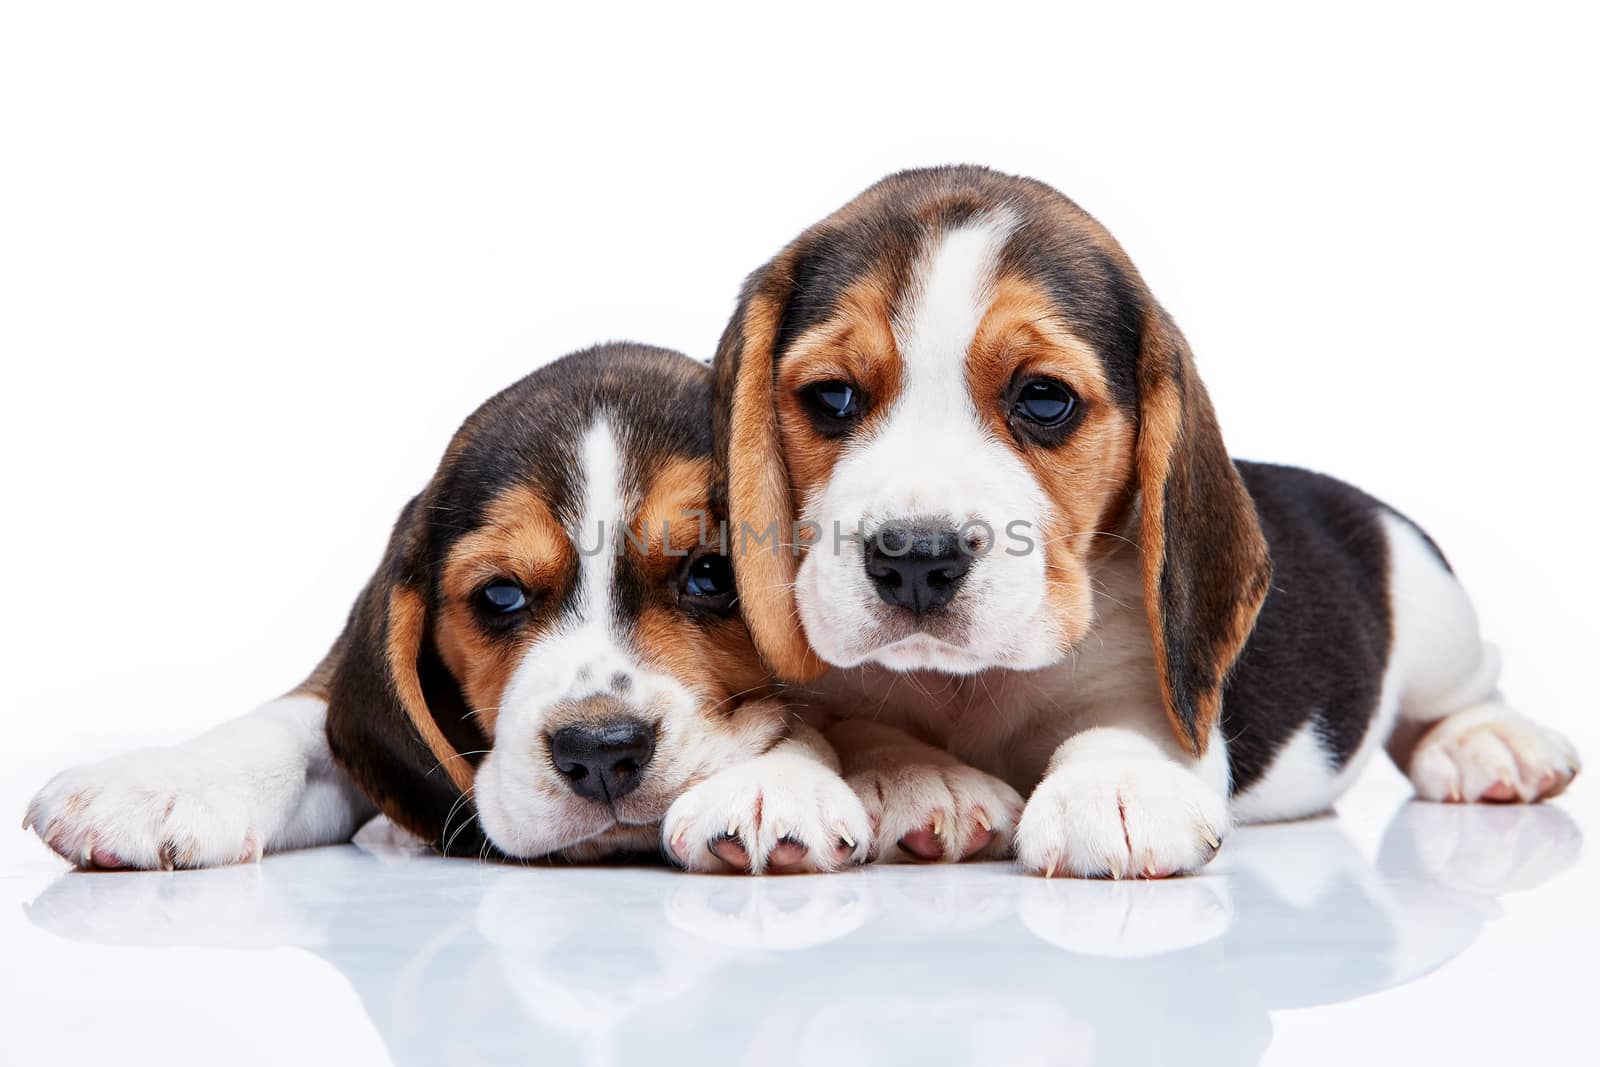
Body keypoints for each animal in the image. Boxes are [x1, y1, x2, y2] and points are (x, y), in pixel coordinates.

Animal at [25, 342, 870, 876]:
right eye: (499, 594)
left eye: (710, 574)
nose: (599, 752)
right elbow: (294, 726)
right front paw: (157, 784)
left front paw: (777, 785)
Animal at [720, 167, 1580, 883]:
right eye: (832, 397)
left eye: (1044, 398)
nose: (914, 559)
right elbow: (852, 723)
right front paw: (899, 771)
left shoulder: (1151, 686)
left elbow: (1120, 727)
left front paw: (1113, 788)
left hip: (1435, 609)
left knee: (1466, 688)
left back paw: (1489, 742)